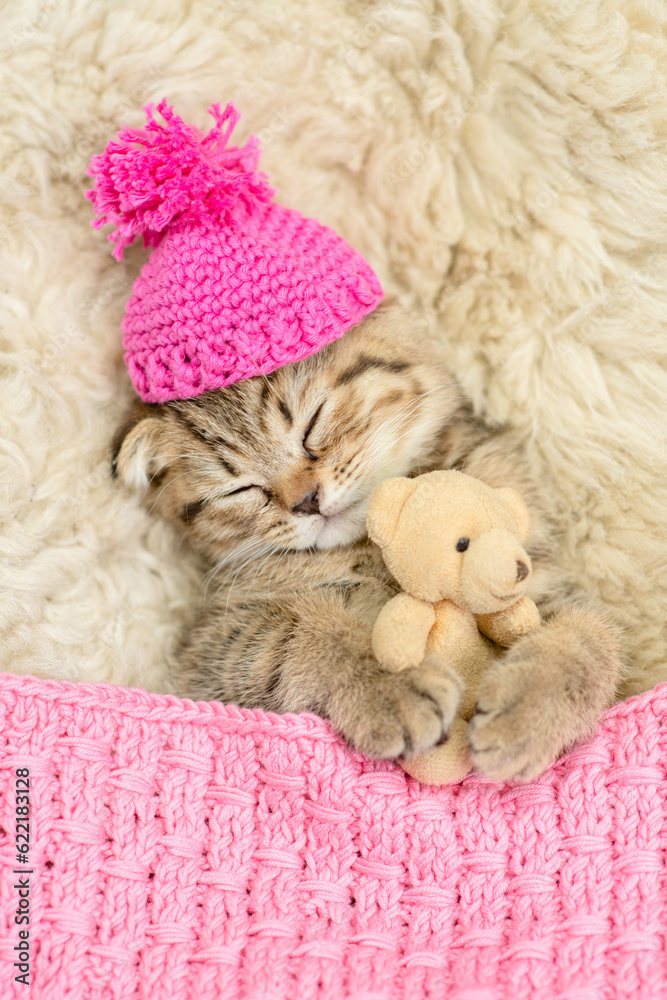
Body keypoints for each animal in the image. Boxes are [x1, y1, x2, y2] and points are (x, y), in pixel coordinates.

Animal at [112, 304, 624, 780]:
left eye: (313, 425)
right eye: (240, 489)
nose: (307, 502)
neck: (374, 537)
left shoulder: (533, 577)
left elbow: (591, 633)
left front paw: (530, 712)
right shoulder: (211, 648)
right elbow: (294, 636)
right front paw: (389, 683)